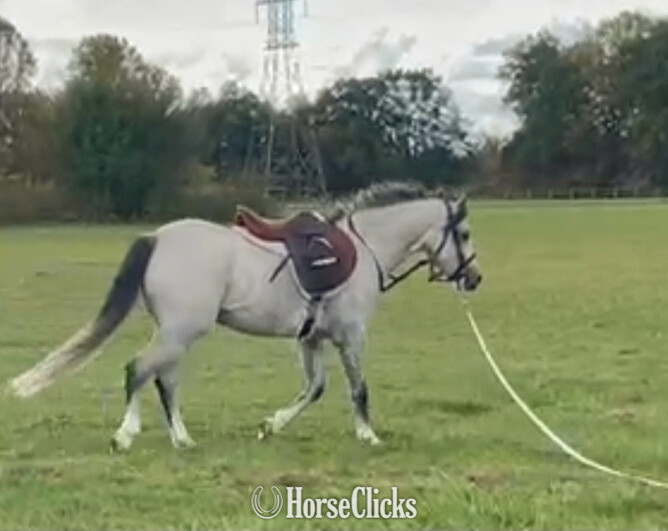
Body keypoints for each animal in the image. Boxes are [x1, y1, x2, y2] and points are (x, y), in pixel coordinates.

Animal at [8, 182, 482, 451]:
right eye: (463, 233)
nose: (474, 278)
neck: (364, 249)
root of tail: (157, 237)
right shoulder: (351, 336)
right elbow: (357, 388)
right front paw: (368, 436)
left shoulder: (311, 338)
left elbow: (315, 388)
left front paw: (271, 426)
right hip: (182, 331)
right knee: (138, 369)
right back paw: (126, 434)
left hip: (176, 333)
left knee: (164, 380)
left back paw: (182, 439)